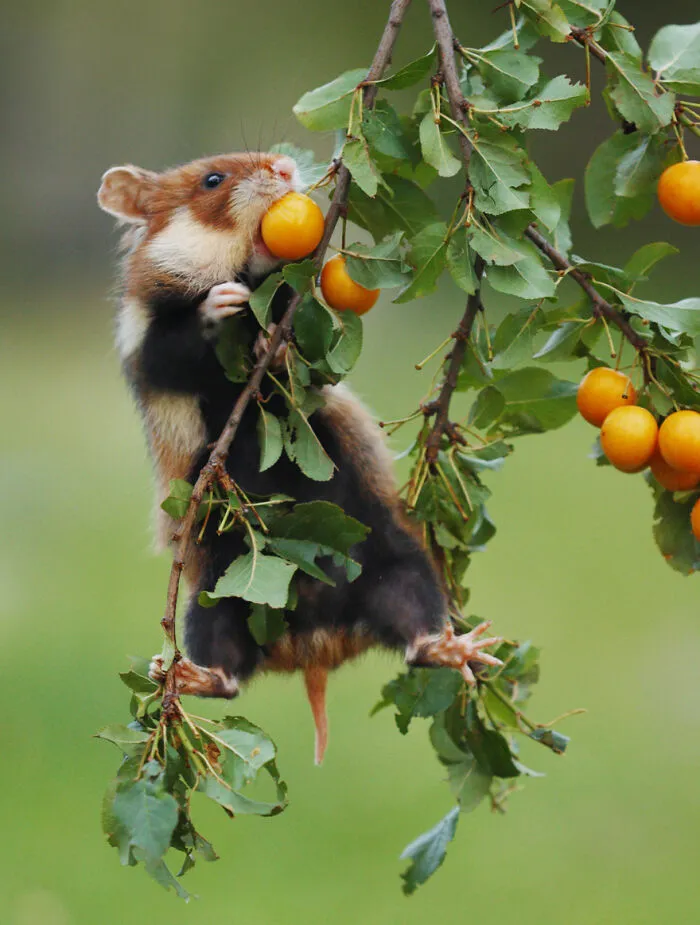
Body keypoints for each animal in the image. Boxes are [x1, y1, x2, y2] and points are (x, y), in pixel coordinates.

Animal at [98, 151, 502, 763]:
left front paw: (272, 340)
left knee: (418, 636)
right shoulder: (152, 352)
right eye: (212, 180)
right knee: (228, 675)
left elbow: (300, 351)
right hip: (213, 595)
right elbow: (183, 344)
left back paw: (466, 649)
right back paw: (179, 674)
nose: (286, 167)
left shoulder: (307, 340)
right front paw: (222, 305)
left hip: (400, 563)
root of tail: (316, 648)